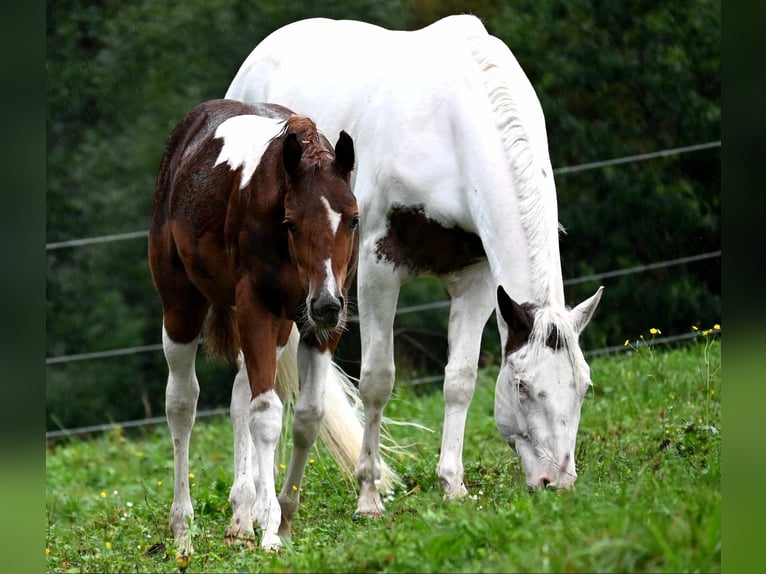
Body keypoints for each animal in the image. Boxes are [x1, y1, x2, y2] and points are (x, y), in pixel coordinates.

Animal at [150, 101, 360, 556]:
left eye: (353, 220)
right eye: (292, 222)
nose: (326, 304)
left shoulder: (318, 327)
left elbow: (307, 415)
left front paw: (282, 517)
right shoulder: (256, 312)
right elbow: (266, 415)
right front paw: (270, 530)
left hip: (280, 328)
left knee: (238, 398)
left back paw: (241, 520)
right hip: (181, 308)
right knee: (181, 404)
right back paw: (182, 529)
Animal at [225, 14, 604, 516]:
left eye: (583, 386)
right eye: (522, 386)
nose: (556, 482)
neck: (454, 127)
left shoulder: (476, 278)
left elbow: (460, 379)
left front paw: (452, 484)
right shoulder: (377, 269)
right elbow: (378, 381)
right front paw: (368, 496)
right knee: (243, 391)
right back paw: (245, 504)